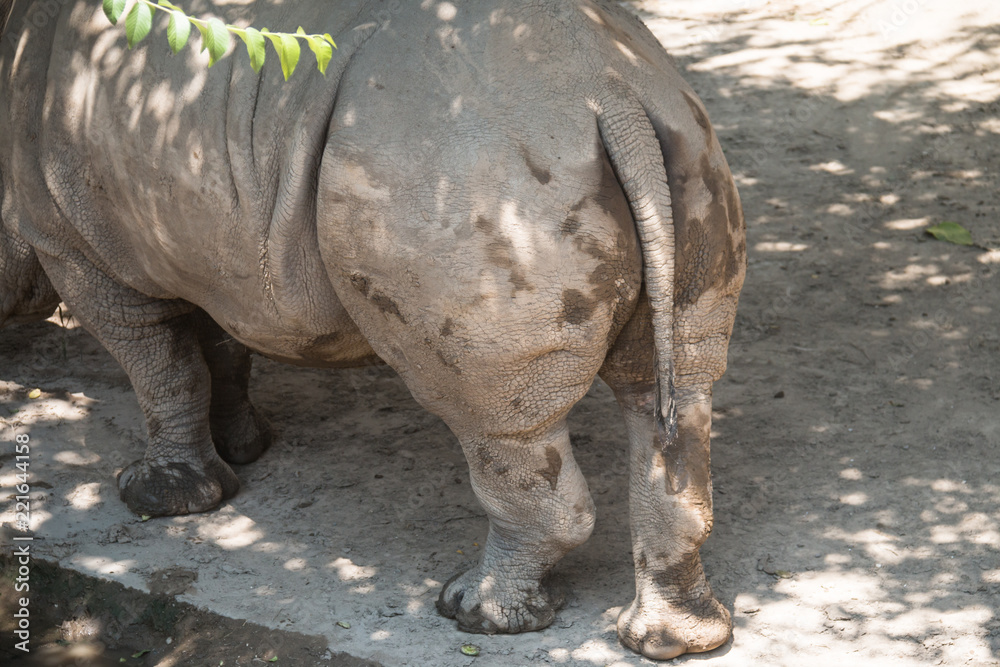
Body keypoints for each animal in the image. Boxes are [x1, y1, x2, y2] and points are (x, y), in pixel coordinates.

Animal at [0, 0, 746, 659]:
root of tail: (607, 93)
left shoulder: (76, 247)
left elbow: (160, 365)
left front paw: (161, 499)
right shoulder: (207, 247)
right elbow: (219, 346)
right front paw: (244, 449)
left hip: (462, 175)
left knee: (496, 416)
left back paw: (471, 611)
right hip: (681, 141)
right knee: (671, 393)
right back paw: (672, 641)